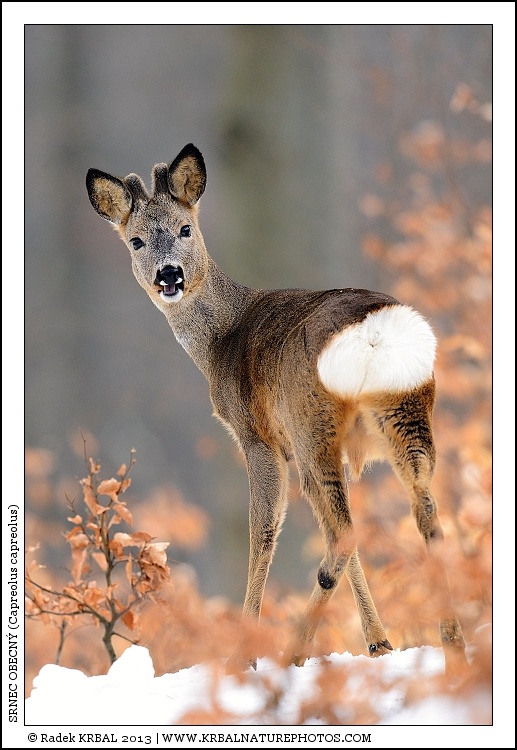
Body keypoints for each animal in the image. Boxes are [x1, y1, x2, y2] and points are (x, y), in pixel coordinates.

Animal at [86, 143, 468, 679]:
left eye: (185, 229)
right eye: (137, 240)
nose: (169, 275)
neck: (220, 340)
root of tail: (378, 333)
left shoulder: (257, 435)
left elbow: (262, 532)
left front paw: (241, 655)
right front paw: (379, 643)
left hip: (313, 423)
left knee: (344, 532)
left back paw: (293, 651)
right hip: (404, 414)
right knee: (422, 514)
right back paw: (452, 644)